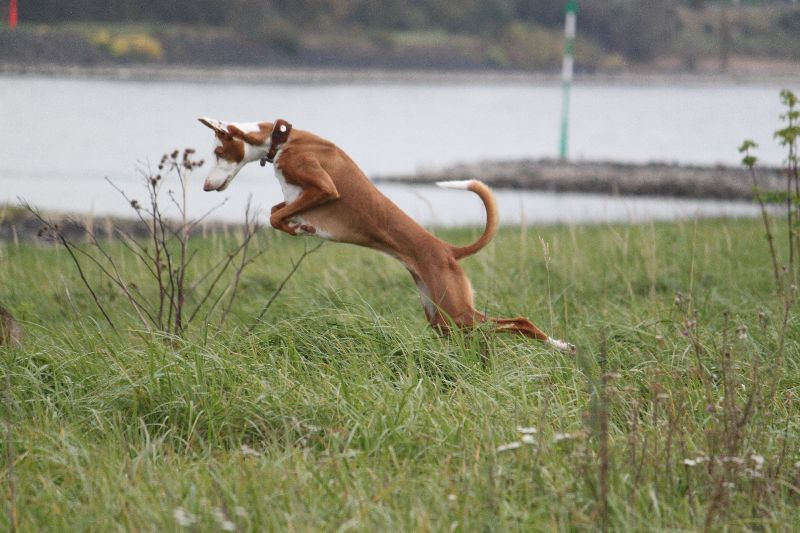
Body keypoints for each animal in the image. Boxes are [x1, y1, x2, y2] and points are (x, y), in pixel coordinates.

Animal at [199, 117, 574, 352]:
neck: (285, 138)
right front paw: (299, 226)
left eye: (218, 153)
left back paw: (559, 346)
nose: (204, 186)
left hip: (456, 313)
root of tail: (447, 249)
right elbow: (276, 213)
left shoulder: (325, 188)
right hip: (441, 317)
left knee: (519, 322)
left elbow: (278, 216)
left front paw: (300, 227)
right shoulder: (297, 198)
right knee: (496, 328)